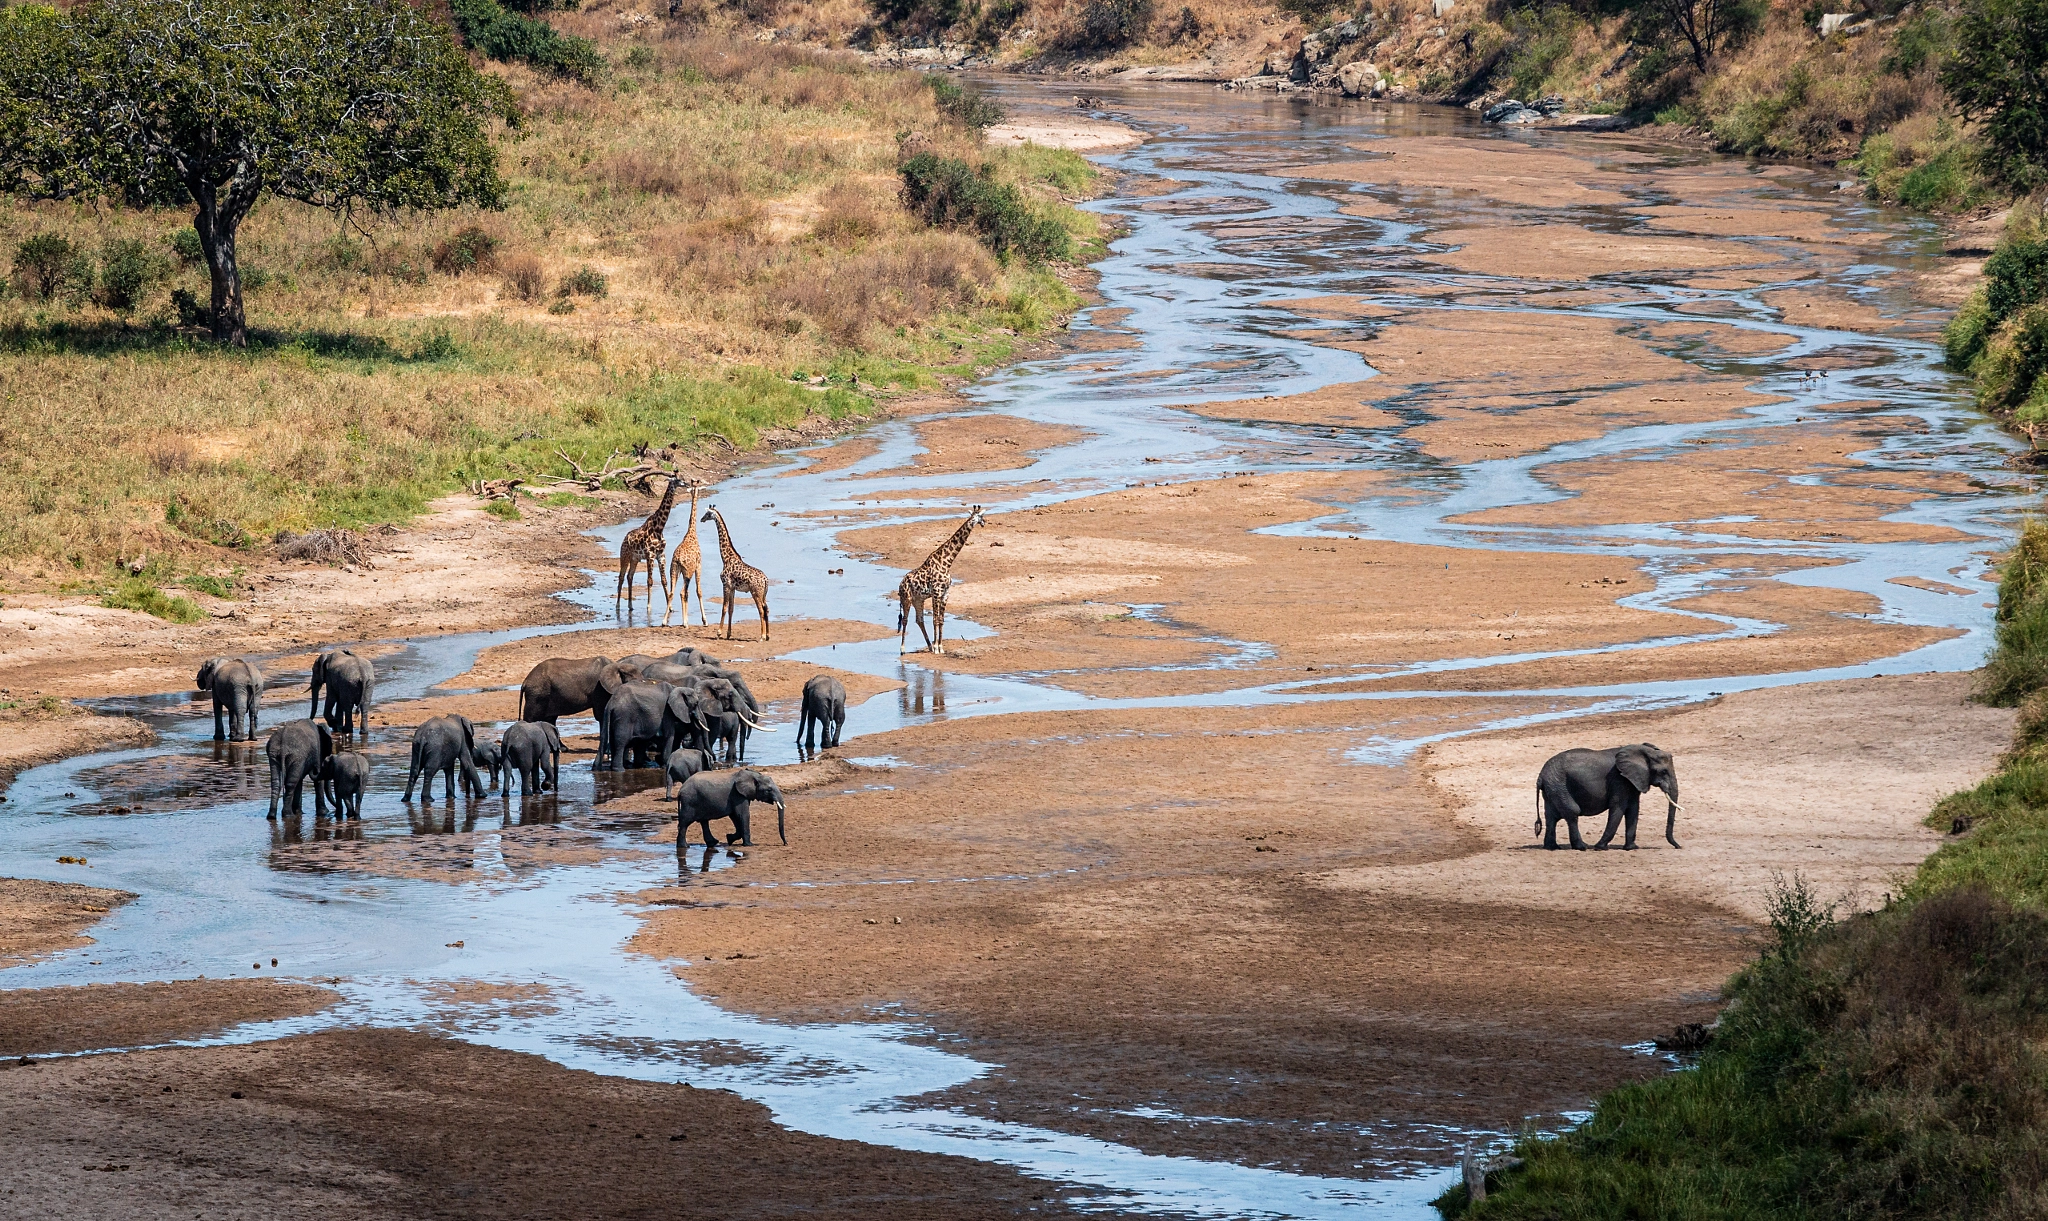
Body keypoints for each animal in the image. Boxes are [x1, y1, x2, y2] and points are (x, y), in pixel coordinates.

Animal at [614, 471, 679, 614]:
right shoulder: (650, 555)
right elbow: (650, 581)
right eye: (676, 481)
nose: (686, 484)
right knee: (621, 577)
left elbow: (664, 580)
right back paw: (617, 605)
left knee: (630, 576)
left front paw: (670, 607)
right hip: (624, 556)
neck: (659, 527)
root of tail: (624, 540)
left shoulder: (661, 554)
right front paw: (649, 607)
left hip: (635, 559)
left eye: (681, 479)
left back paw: (630, 605)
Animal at [671, 479, 712, 622]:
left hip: (674, 570)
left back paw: (665, 621)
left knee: (673, 592)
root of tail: (678, 559)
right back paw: (685, 623)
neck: (691, 533)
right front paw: (704, 620)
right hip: (687, 572)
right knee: (682, 592)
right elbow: (699, 591)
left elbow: (689, 594)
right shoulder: (698, 565)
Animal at [700, 506, 770, 643]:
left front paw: (718, 633)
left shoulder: (725, 585)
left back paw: (762, 636)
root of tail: (765, 579)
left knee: (761, 610)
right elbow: (731, 609)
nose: (701, 519)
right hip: (763, 594)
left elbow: (724, 608)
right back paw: (768, 635)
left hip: (755, 592)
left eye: (707, 513)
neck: (726, 558)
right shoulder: (732, 588)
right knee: (766, 609)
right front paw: (728, 634)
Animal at [901, 506, 987, 659]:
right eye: (980, 517)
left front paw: (940, 647)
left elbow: (941, 620)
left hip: (918, 599)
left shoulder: (945, 593)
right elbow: (935, 619)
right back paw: (903, 649)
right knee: (905, 620)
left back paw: (929, 646)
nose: (984, 523)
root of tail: (899, 585)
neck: (947, 562)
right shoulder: (936, 592)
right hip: (907, 598)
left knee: (919, 620)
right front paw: (936, 648)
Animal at [1540, 737, 1679, 852]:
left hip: (1553, 788)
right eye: (1663, 772)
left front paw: (1632, 848)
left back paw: (1552, 847)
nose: (1678, 846)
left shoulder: (1632, 781)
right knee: (1572, 812)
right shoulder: (1619, 779)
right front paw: (1600, 848)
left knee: (1551, 816)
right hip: (1558, 785)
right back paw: (1582, 847)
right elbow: (1618, 807)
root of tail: (1541, 776)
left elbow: (1633, 809)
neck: (1644, 751)